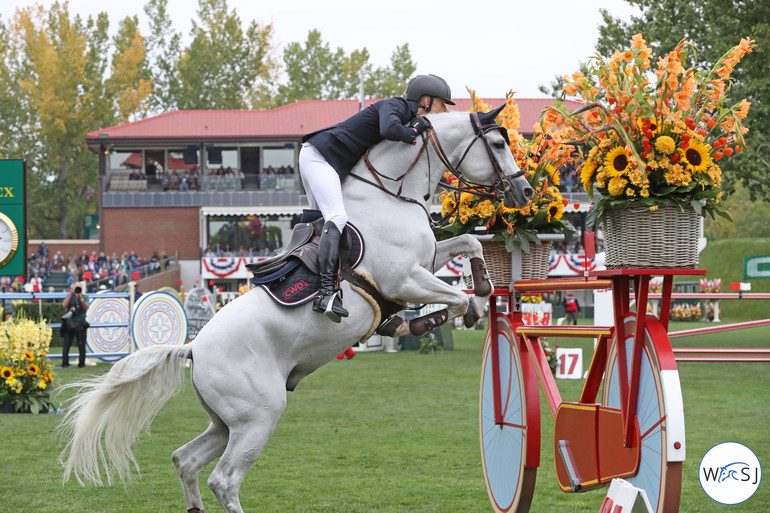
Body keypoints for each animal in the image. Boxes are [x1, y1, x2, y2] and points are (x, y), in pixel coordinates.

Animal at [60, 109, 532, 512]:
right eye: (497, 142)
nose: (525, 191)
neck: (391, 197)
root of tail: (193, 348)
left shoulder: (428, 259)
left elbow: (468, 244)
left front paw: (477, 288)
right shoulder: (404, 278)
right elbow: (456, 298)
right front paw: (438, 317)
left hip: (226, 423)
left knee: (186, 460)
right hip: (258, 417)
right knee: (223, 480)